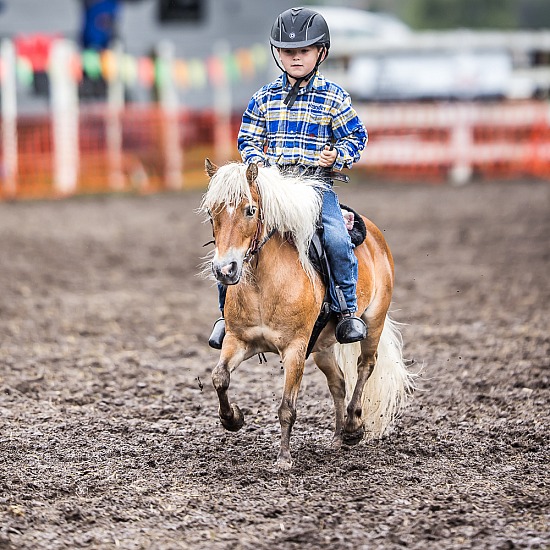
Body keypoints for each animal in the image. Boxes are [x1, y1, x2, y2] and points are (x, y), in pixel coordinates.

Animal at [202, 161, 414, 470]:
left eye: (250, 210)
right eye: (211, 212)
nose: (224, 270)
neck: (264, 286)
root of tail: (376, 236)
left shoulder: (295, 349)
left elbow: (287, 408)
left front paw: (283, 458)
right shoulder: (238, 341)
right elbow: (219, 378)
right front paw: (233, 419)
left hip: (374, 321)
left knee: (365, 366)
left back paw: (353, 428)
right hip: (322, 347)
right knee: (338, 383)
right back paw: (337, 438)